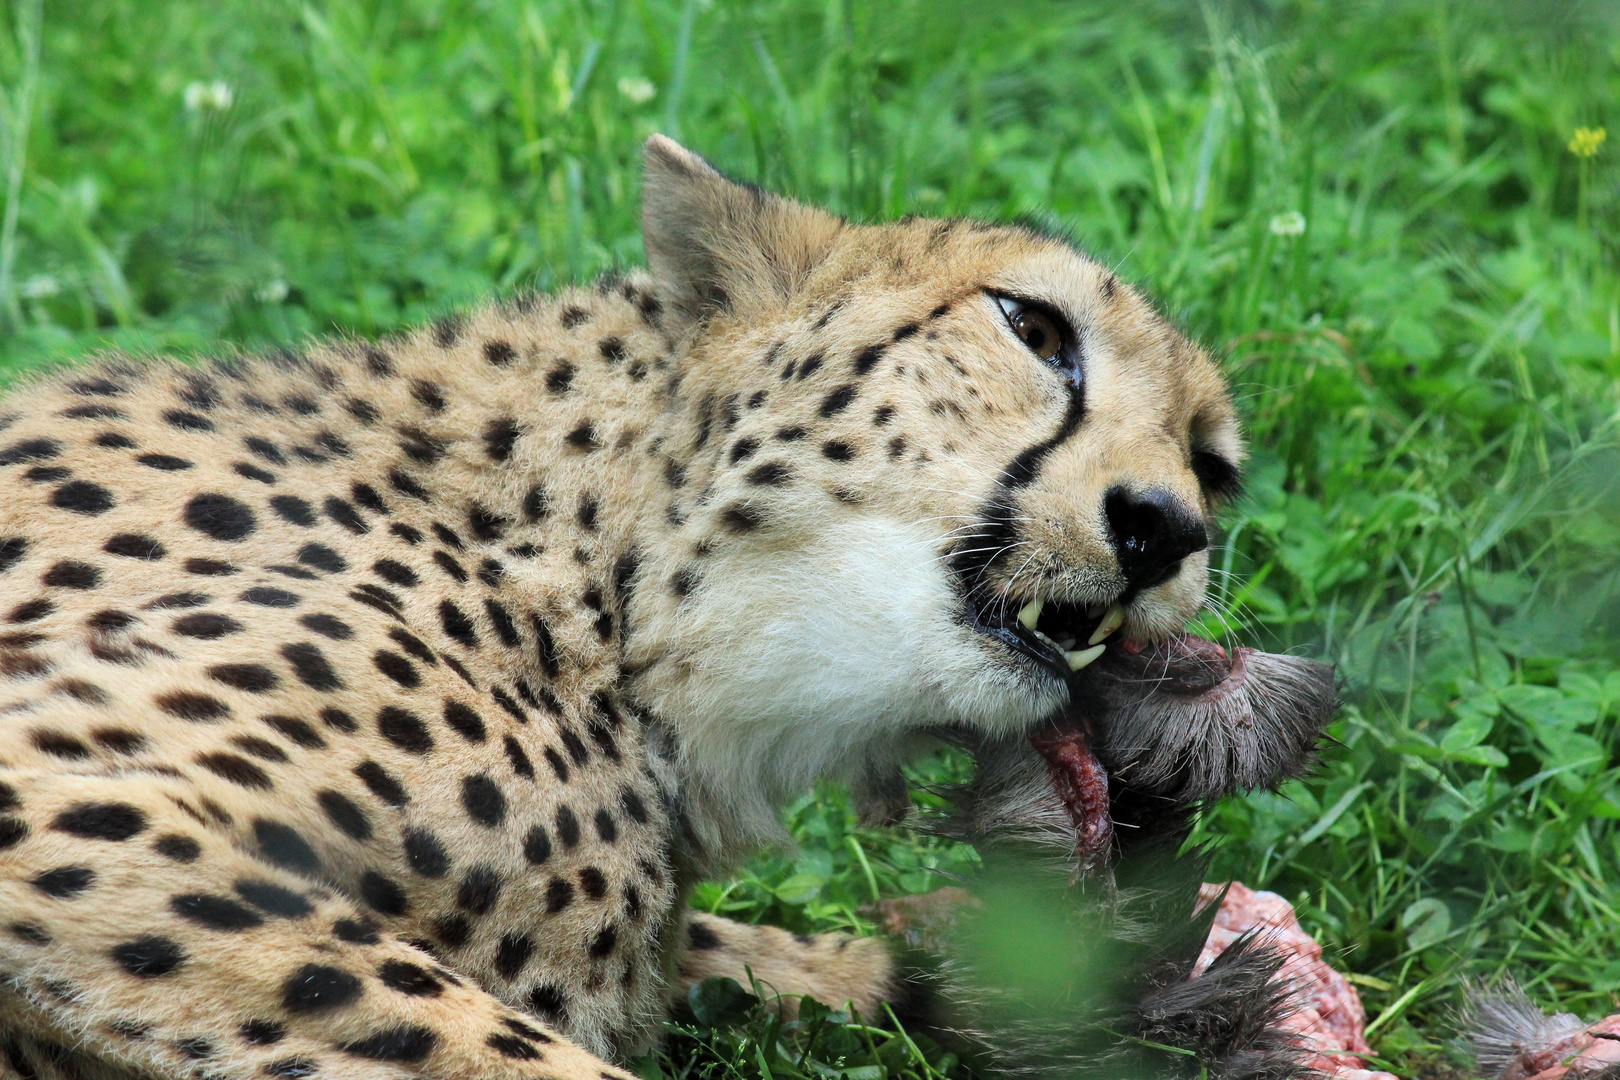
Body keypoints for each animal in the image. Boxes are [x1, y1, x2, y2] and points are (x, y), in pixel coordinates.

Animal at [0, 135, 1328, 1080]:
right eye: (1035, 328)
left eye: (1214, 466)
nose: (1165, 528)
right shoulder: (59, 791)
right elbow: (507, 1049)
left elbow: (748, 958)